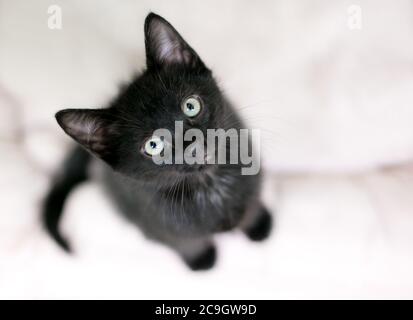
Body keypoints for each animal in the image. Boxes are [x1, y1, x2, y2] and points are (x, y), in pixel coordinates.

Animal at [43, 13, 272, 272]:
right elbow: (180, 240)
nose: (193, 146)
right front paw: (200, 259)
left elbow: (251, 200)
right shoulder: (151, 220)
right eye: (153, 145)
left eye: (191, 106)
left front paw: (257, 223)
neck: (209, 185)